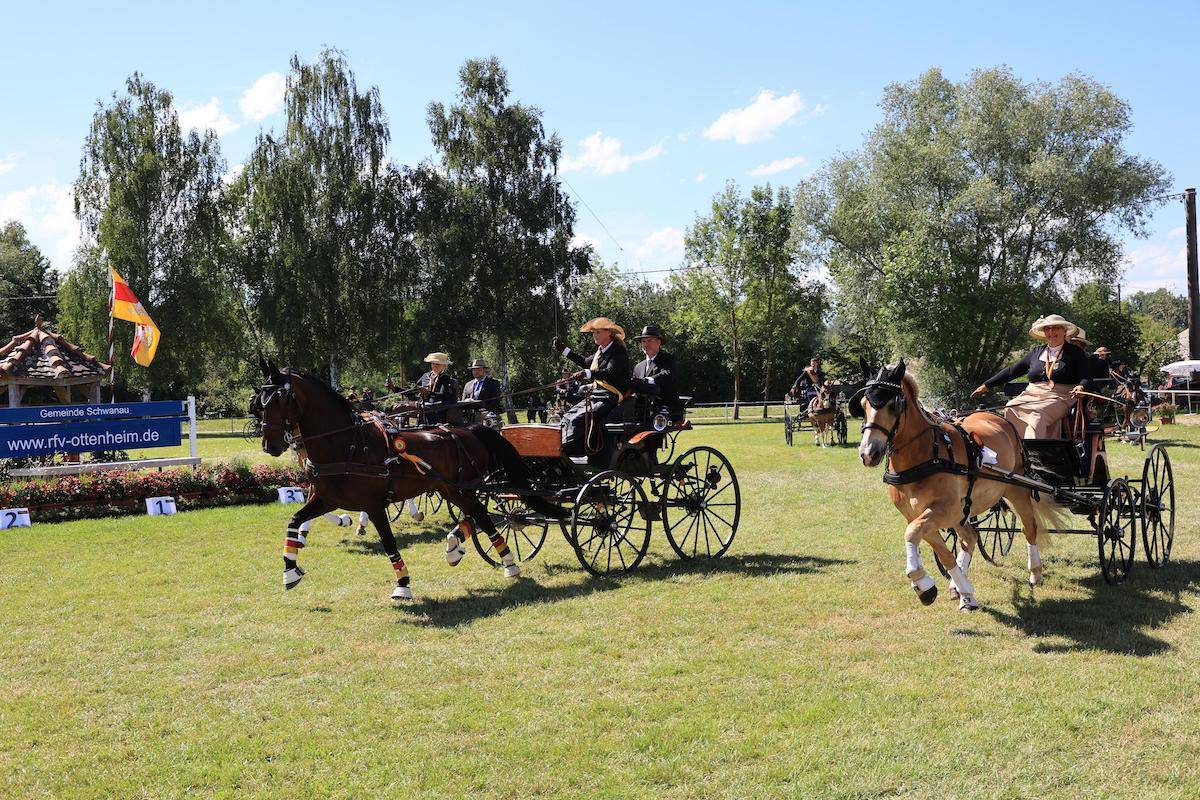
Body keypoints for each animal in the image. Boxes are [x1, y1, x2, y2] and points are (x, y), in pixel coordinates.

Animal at [250, 358, 562, 601]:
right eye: (259, 403)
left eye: (277, 399)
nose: (270, 445)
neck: (347, 444)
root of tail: (467, 429)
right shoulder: (325, 498)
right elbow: (294, 520)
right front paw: (290, 570)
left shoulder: (374, 505)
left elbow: (388, 542)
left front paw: (403, 585)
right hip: (450, 488)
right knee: (477, 514)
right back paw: (461, 548)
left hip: (465, 487)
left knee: (482, 515)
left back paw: (507, 562)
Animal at [852, 358, 1070, 611]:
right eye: (863, 404)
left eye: (892, 405)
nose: (869, 453)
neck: (926, 455)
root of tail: (999, 418)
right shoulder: (918, 514)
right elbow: (940, 550)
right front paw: (958, 589)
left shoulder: (943, 510)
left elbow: (912, 533)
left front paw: (921, 583)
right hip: (964, 511)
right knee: (970, 537)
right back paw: (961, 589)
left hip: (1016, 489)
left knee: (1029, 528)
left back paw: (1035, 572)